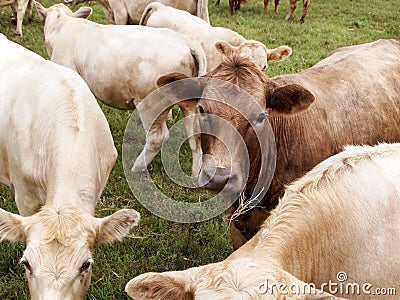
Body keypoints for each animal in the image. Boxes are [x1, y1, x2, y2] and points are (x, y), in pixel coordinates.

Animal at [35, 1, 206, 176]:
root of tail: (187, 44)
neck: (62, 26)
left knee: (157, 138)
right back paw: (195, 174)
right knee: (195, 134)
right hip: (188, 102)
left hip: (151, 104)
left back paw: (137, 167)